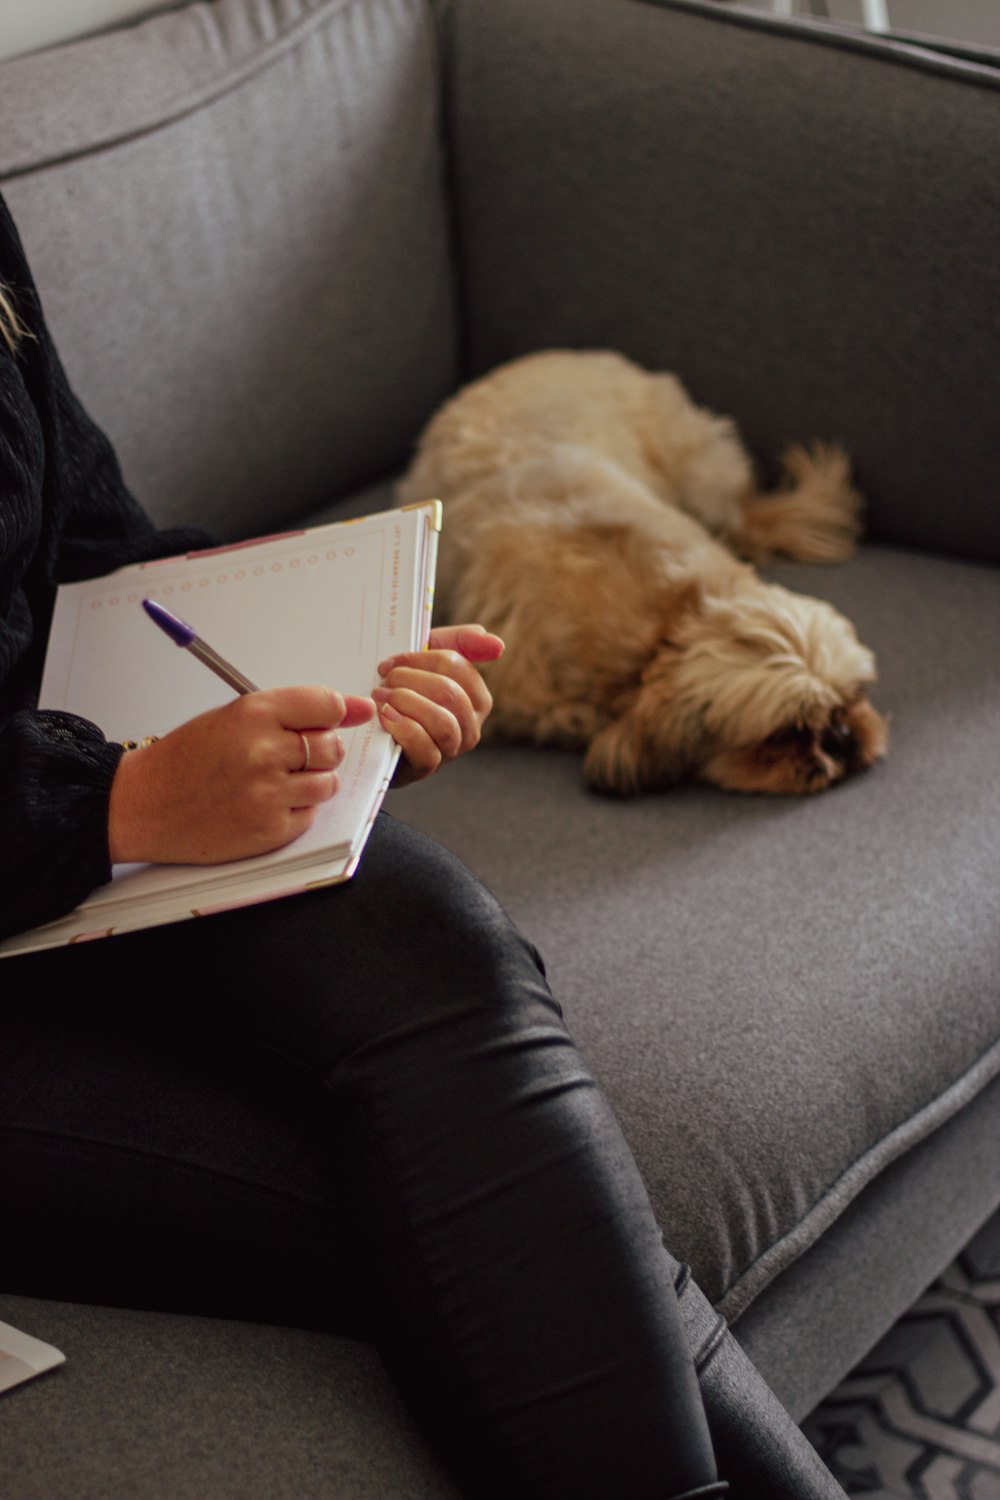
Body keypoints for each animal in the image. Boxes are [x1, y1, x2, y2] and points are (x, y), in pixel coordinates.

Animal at [395, 351, 887, 798]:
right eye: (785, 735)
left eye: (855, 695)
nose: (843, 734)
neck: (670, 619)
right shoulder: (522, 698)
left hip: (704, 478)